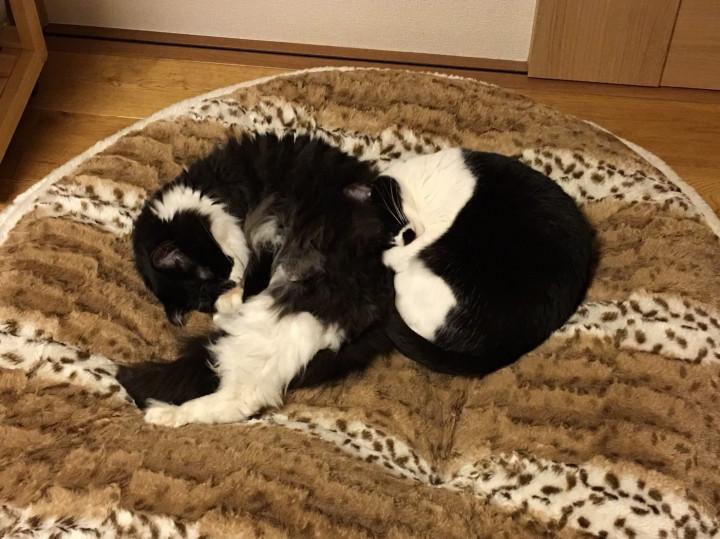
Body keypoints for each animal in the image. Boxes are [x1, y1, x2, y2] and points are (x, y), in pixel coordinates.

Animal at [119, 138, 594, 427]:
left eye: (213, 275)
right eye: (204, 290)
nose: (226, 290)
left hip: (283, 317)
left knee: (243, 397)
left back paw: (163, 415)